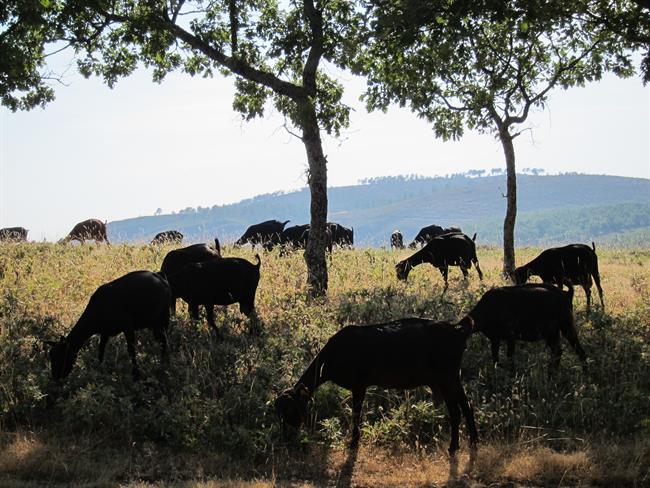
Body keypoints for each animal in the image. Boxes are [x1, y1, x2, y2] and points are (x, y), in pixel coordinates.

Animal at [275, 316, 477, 454]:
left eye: (291, 410)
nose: (285, 437)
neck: (332, 356)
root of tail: (458, 330)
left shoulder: (359, 384)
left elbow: (356, 413)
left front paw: (354, 442)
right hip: (453, 377)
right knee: (467, 405)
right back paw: (473, 442)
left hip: (446, 377)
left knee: (455, 411)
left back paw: (454, 447)